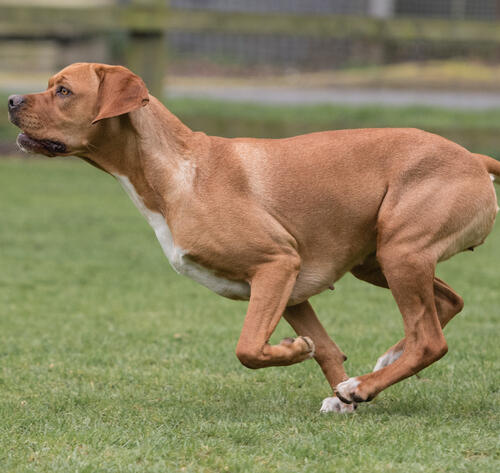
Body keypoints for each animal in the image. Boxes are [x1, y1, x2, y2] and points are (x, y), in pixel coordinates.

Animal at [8, 63, 500, 412]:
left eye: (63, 91)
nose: (10, 98)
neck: (178, 169)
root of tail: (473, 157)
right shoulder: (291, 288)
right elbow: (327, 350)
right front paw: (338, 395)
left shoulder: (276, 266)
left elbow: (248, 349)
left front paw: (297, 354)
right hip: (378, 260)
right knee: (446, 305)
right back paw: (375, 372)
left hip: (400, 253)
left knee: (429, 339)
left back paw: (365, 385)